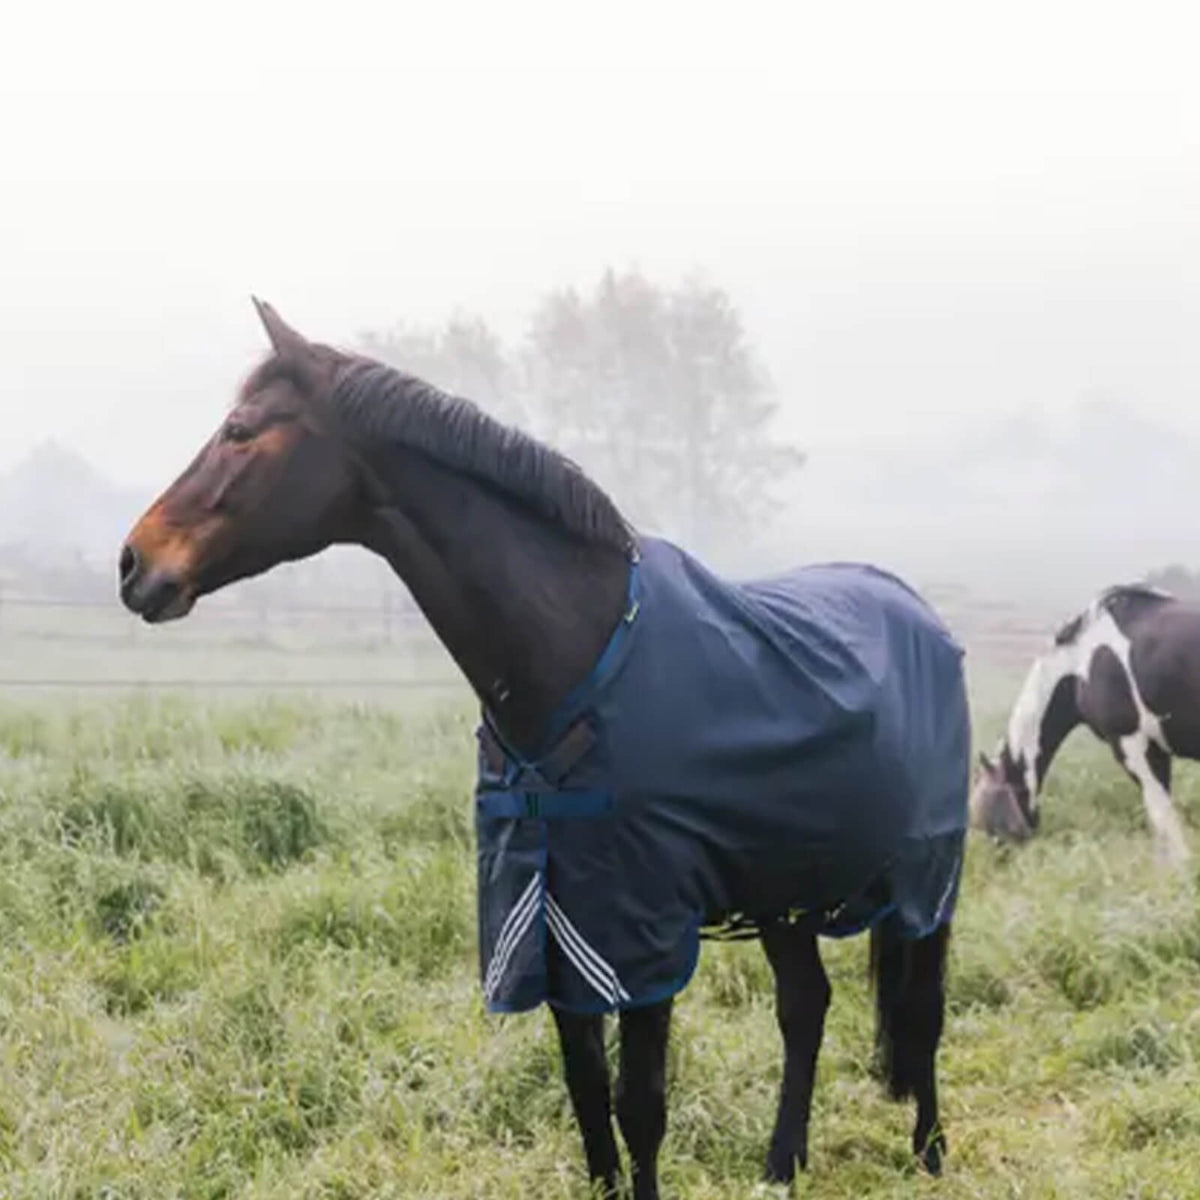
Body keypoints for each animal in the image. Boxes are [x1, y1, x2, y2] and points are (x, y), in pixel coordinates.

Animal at [118, 299, 971, 1197]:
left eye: (240, 431)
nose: (134, 563)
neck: (576, 655)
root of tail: (921, 613)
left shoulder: (639, 931)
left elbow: (640, 1105)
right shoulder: (554, 920)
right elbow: (587, 1093)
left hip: (927, 881)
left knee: (921, 1013)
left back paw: (929, 1150)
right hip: (784, 885)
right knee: (804, 1006)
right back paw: (781, 1165)